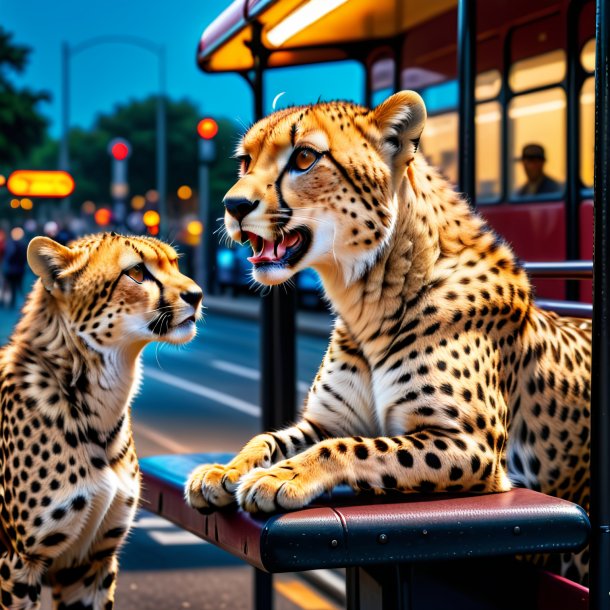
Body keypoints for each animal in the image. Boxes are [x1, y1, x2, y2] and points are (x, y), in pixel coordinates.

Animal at [185, 90, 588, 580]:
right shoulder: (326, 420)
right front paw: (227, 469)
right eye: (246, 161)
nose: (233, 205)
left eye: (304, 157)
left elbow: (351, 448)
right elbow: (269, 438)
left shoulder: (471, 446)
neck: (367, 301)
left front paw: (281, 476)